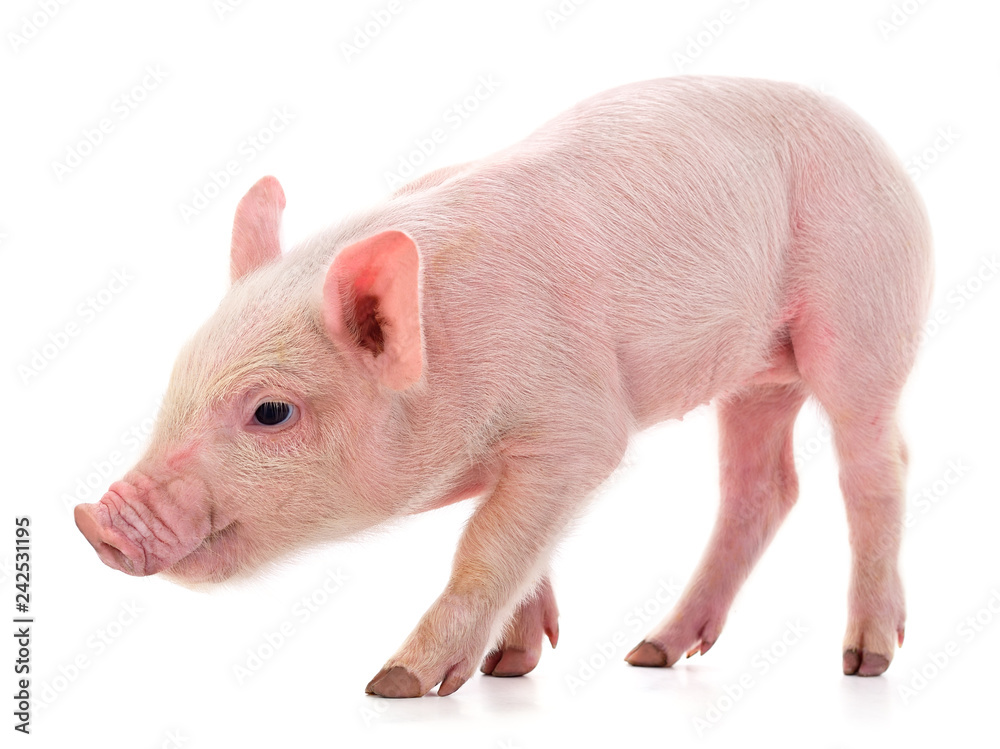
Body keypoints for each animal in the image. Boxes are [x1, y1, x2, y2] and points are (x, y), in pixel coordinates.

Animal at [75, 76, 932, 697]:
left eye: (271, 410)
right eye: (174, 382)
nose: (97, 520)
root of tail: (880, 145)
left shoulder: (580, 426)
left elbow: (487, 540)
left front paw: (397, 683)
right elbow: (522, 541)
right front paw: (511, 665)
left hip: (863, 318)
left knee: (878, 463)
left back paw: (865, 660)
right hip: (756, 374)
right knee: (764, 486)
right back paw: (650, 654)